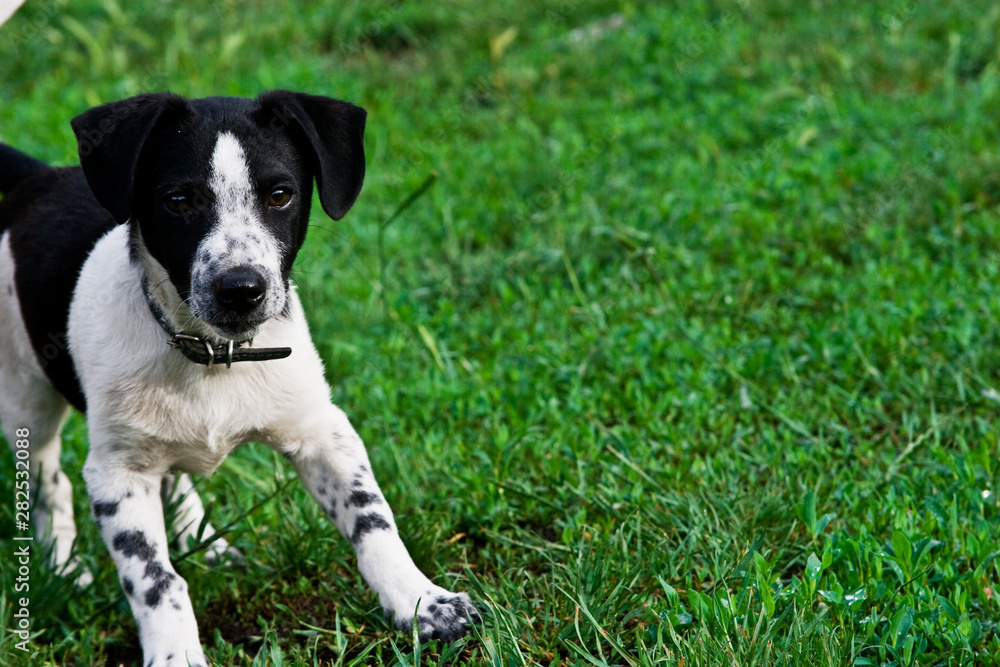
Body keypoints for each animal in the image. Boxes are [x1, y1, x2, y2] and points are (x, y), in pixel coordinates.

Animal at [0, 91, 480, 664]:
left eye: (280, 195)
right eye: (178, 200)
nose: (241, 289)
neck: (213, 353)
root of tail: (39, 179)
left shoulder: (323, 432)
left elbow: (373, 520)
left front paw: (422, 602)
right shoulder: (118, 473)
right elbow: (155, 578)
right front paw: (175, 654)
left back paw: (199, 536)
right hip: (26, 397)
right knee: (49, 478)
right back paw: (64, 565)